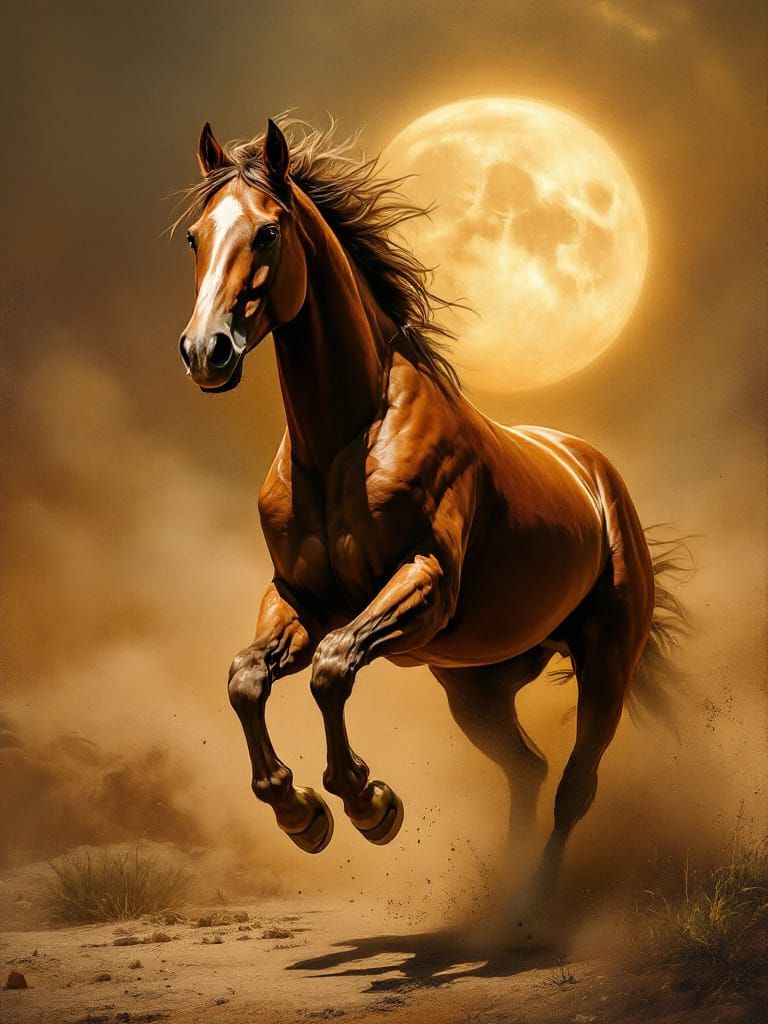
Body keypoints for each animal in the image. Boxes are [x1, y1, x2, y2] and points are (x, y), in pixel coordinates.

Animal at [176, 117, 686, 898]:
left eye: (267, 232)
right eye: (195, 236)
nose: (208, 351)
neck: (343, 442)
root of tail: (597, 476)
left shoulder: (423, 584)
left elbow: (332, 667)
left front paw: (367, 803)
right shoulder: (297, 598)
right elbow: (246, 678)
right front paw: (302, 814)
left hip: (604, 664)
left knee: (573, 787)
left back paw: (533, 906)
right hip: (476, 686)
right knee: (527, 769)